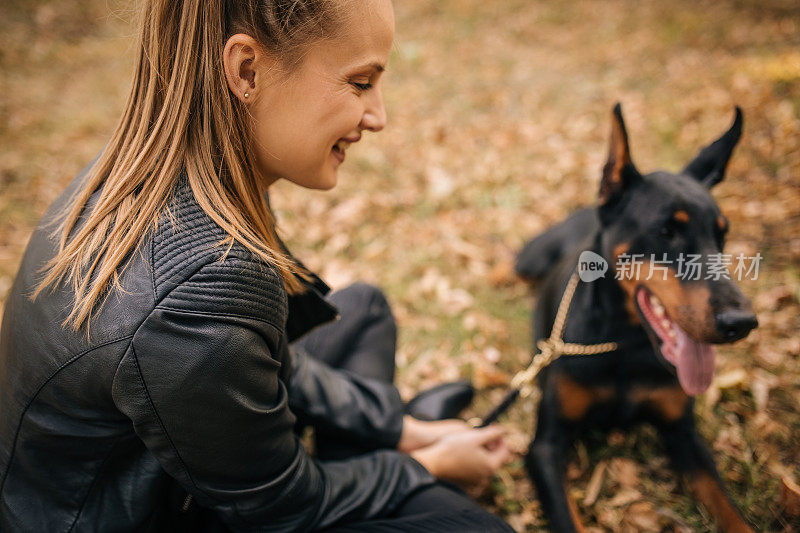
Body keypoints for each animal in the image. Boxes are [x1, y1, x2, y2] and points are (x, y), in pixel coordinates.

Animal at [520, 105, 756, 532]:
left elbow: (727, 506)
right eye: (667, 230)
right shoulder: (545, 446)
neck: (625, 344)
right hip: (527, 258)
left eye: (722, 235)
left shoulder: (683, 433)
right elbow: (566, 517)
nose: (742, 322)